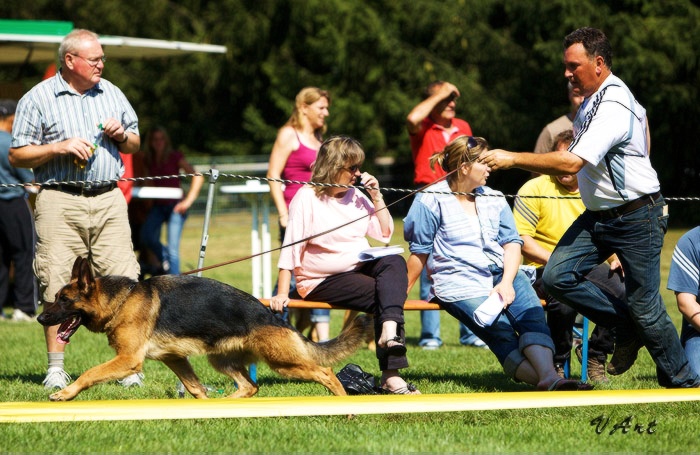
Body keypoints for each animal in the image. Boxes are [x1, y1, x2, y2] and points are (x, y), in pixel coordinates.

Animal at [37, 258, 372, 400]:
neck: (122, 300)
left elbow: (90, 373)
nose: (40, 319)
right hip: (221, 360)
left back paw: (345, 405)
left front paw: (65, 394)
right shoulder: (175, 359)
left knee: (325, 372)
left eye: (63, 300)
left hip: (283, 362)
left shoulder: (128, 360)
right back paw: (227, 405)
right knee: (250, 387)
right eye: (55, 297)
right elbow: (195, 388)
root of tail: (272, 316)